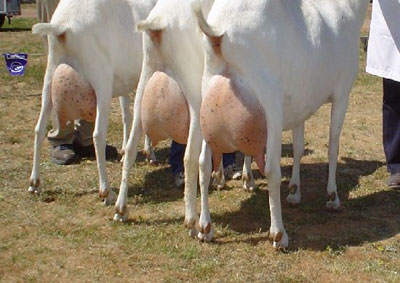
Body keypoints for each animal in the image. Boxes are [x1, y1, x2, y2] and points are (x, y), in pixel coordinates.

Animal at [29, 0, 156, 204]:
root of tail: (62, 25)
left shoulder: (126, 81)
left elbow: (127, 115)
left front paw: (128, 151)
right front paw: (148, 152)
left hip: (50, 76)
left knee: (39, 129)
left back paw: (34, 183)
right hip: (101, 81)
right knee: (98, 135)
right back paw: (107, 191)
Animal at [194, 0, 368, 248]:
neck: (346, 9)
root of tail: (218, 33)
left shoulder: (301, 106)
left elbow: (298, 147)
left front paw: (294, 192)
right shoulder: (342, 94)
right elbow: (333, 146)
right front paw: (332, 197)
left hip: (206, 99)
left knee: (203, 164)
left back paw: (205, 228)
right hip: (270, 104)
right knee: (271, 169)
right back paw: (278, 234)